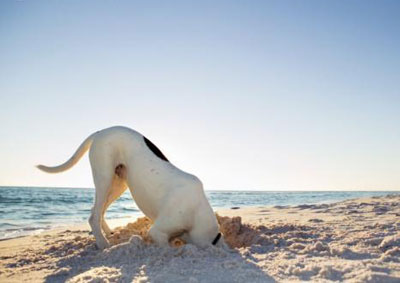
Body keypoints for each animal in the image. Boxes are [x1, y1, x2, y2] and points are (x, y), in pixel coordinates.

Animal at [37, 127, 222, 251]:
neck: (197, 210)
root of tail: (101, 131)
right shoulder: (157, 231)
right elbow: (166, 247)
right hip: (104, 177)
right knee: (94, 215)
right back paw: (104, 244)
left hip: (118, 184)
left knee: (98, 210)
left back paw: (109, 233)